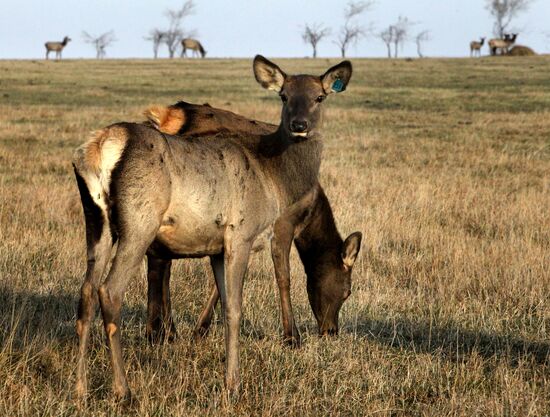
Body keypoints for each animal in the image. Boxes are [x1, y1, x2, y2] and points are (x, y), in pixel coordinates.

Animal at [142, 100, 364, 344]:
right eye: (347, 291)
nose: (331, 331)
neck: (309, 211)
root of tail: (165, 116)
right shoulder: (283, 223)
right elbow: (283, 276)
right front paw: (292, 336)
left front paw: (201, 329)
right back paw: (159, 333)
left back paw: (168, 331)